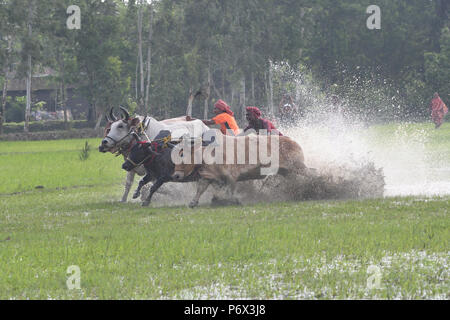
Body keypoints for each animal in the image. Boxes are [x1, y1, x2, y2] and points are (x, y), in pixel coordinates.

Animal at [171, 132, 312, 208]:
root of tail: (292, 141)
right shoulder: (208, 176)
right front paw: (193, 202)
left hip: (298, 166)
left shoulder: (231, 176)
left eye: (182, 155)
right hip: (287, 172)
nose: (176, 176)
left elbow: (230, 190)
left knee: (312, 173)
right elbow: (201, 189)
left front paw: (233, 200)